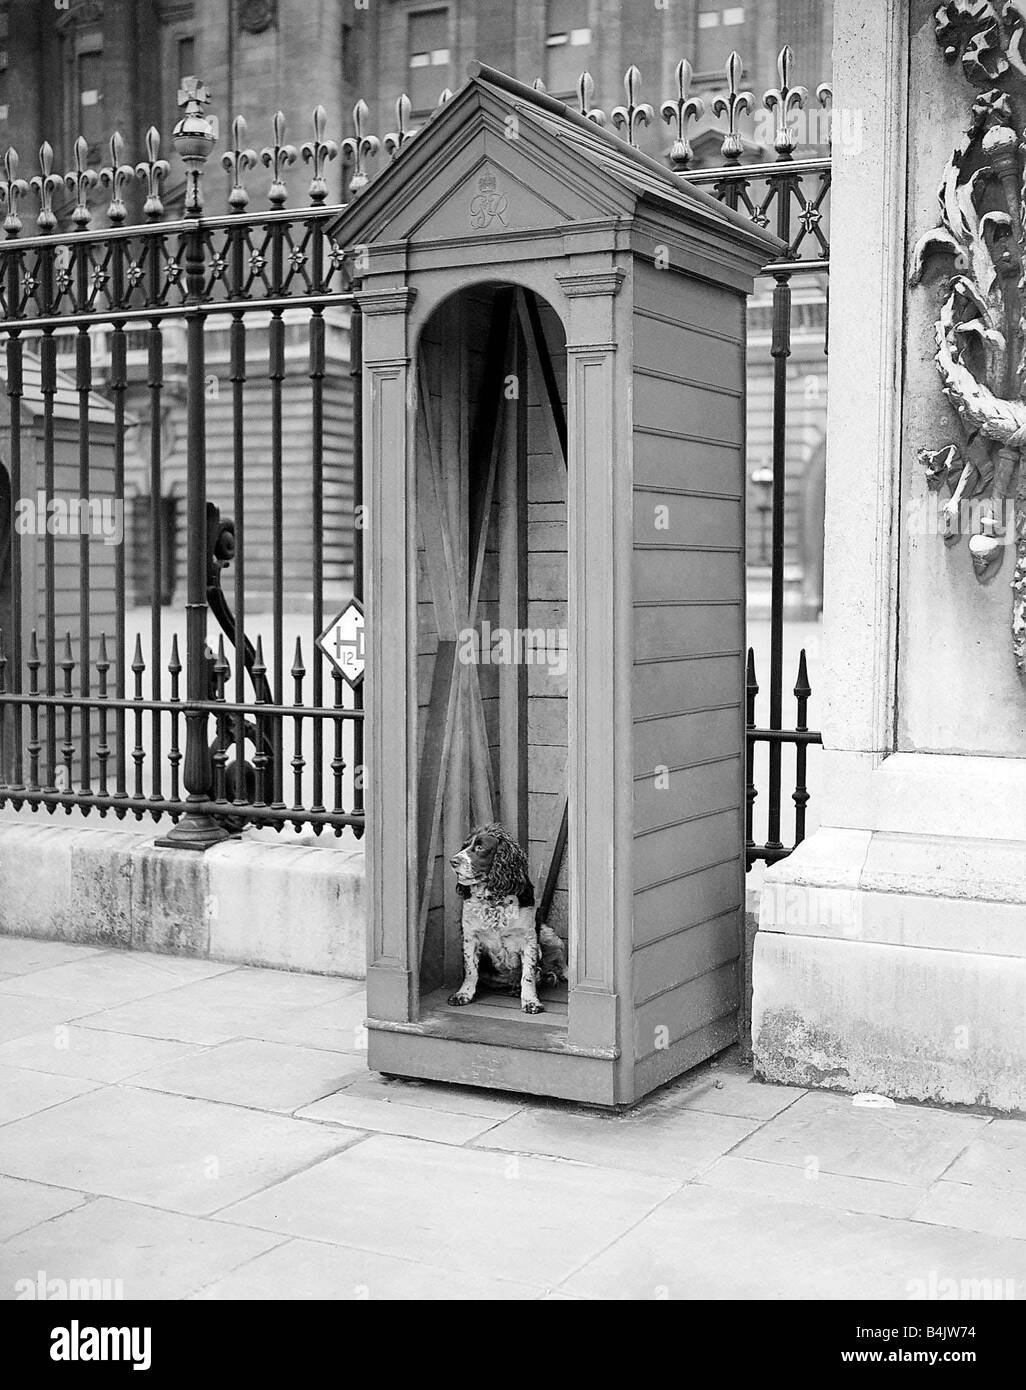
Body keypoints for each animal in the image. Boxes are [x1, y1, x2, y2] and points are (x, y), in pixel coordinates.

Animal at [447, 817, 567, 1017]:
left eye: (480, 847)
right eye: (464, 846)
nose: (453, 861)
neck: (494, 899)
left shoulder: (529, 939)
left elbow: (528, 975)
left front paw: (531, 1002)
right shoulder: (470, 936)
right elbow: (470, 970)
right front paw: (463, 994)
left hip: (549, 936)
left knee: (557, 964)